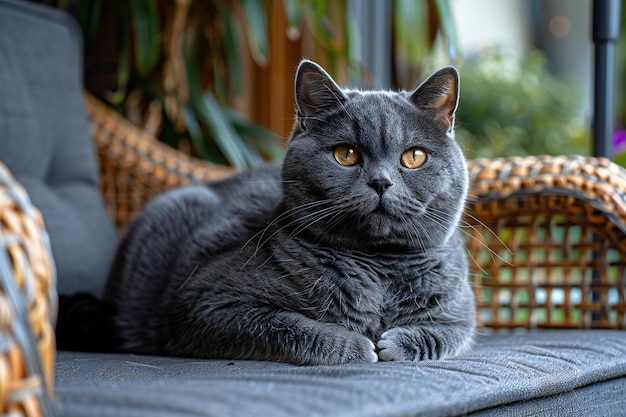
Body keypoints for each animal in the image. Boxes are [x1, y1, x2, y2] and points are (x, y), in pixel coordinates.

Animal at [103, 59, 472, 364]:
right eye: (346, 154)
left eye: (414, 157)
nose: (381, 182)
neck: (378, 268)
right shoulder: (204, 304)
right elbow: (288, 324)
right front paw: (357, 346)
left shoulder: (460, 310)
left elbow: (446, 331)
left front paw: (396, 343)